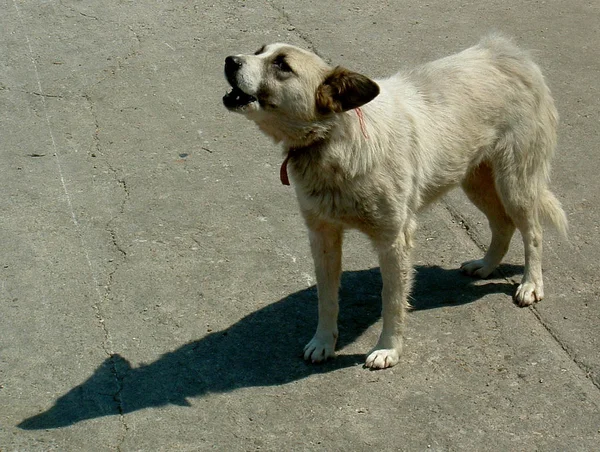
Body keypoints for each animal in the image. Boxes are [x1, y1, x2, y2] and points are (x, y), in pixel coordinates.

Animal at [221, 34, 568, 368]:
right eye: (260, 51)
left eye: (282, 65)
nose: (229, 60)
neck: (335, 137)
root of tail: (509, 52)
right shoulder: (322, 237)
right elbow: (326, 299)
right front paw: (323, 342)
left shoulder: (393, 241)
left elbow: (392, 301)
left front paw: (388, 349)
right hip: (474, 179)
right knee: (503, 225)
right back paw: (485, 265)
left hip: (514, 184)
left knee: (533, 232)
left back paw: (530, 284)